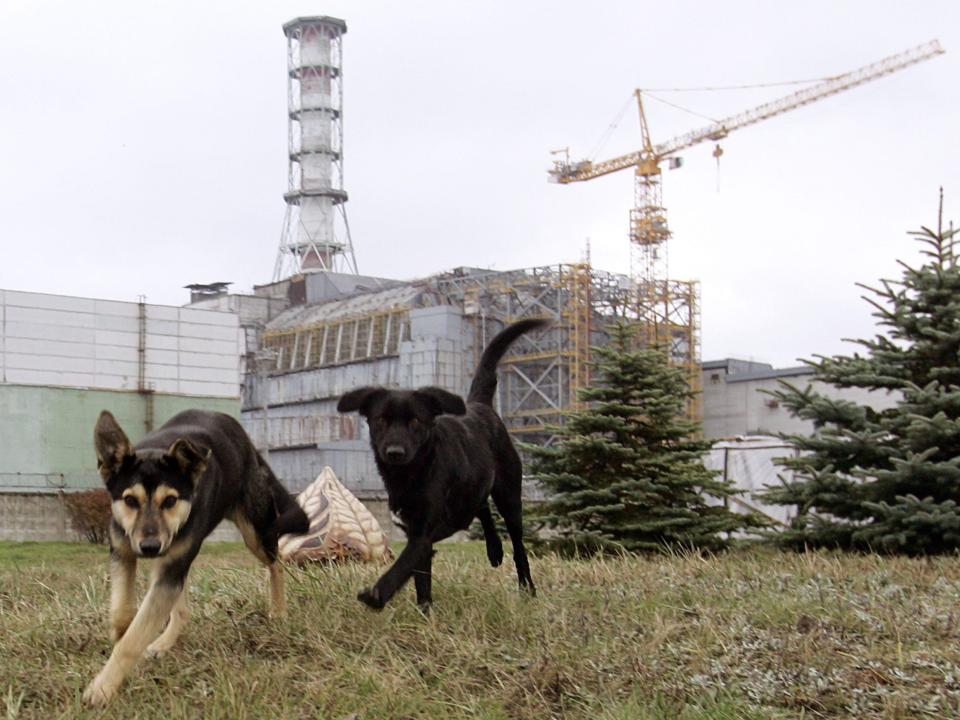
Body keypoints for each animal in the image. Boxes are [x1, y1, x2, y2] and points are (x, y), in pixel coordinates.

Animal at [84, 410, 308, 704]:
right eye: (130, 500)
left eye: (170, 501)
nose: (150, 547)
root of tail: (250, 447)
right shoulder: (123, 551)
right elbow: (123, 611)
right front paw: (120, 635)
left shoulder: (170, 565)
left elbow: (134, 638)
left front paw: (103, 686)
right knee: (182, 610)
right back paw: (164, 642)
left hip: (256, 532)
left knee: (276, 563)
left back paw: (278, 610)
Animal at [338, 320, 548, 608]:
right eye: (380, 419)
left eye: (415, 421)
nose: (394, 452)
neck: (411, 474)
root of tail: (479, 405)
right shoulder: (414, 531)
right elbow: (420, 577)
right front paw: (424, 609)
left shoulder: (422, 533)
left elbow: (403, 564)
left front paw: (377, 594)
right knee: (481, 507)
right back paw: (494, 550)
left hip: (509, 495)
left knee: (517, 545)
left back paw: (527, 587)